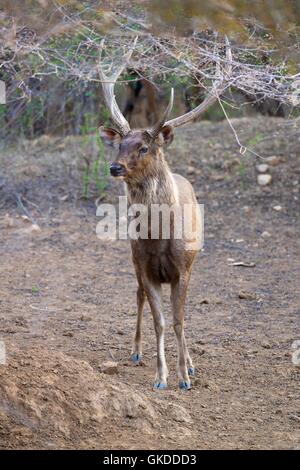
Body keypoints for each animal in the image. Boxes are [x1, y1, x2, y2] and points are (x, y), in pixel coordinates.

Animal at [98, 37, 232, 390]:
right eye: (119, 145)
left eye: (144, 147)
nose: (115, 167)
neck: (159, 238)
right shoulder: (146, 269)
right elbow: (159, 320)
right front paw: (161, 376)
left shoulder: (182, 269)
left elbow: (178, 320)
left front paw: (184, 375)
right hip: (133, 261)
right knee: (138, 297)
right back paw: (135, 351)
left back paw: (191, 363)